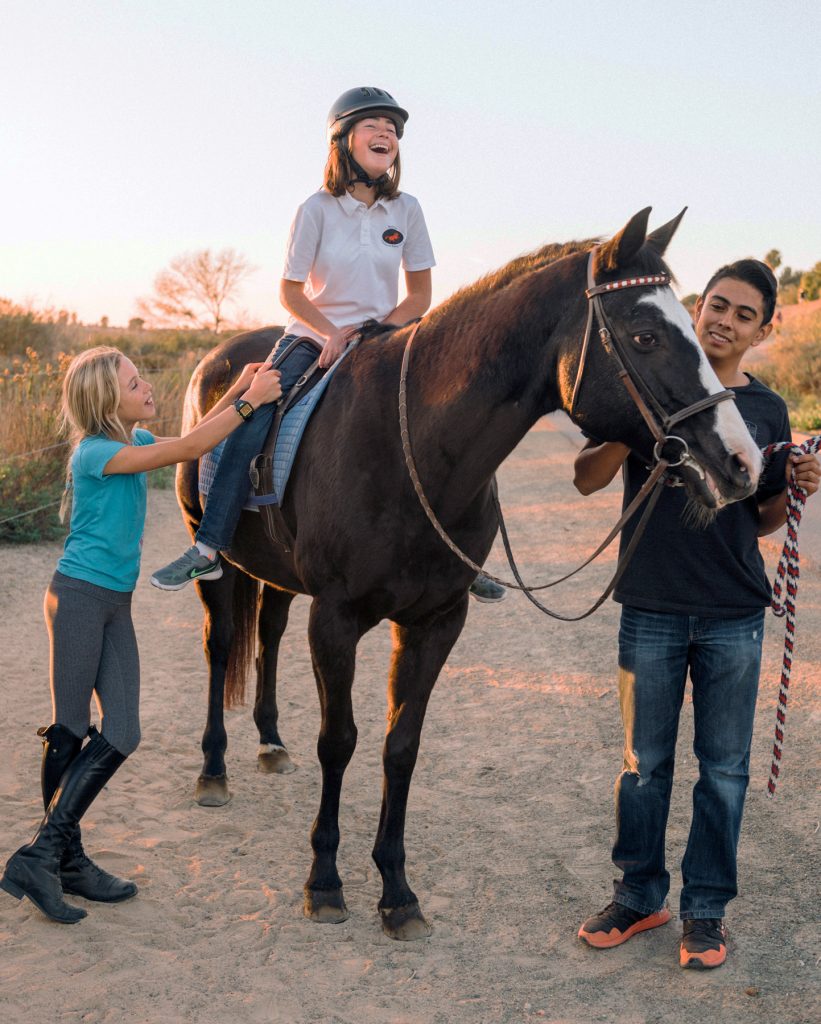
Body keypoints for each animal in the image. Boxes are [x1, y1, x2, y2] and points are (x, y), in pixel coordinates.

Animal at [174, 211, 761, 937]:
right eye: (645, 335)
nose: (741, 463)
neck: (412, 451)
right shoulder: (336, 619)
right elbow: (338, 741)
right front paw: (325, 881)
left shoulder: (435, 621)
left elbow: (401, 746)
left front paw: (397, 891)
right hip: (218, 564)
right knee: (222, 643)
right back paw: (214, 769)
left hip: (279, 578)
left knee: (270, 635)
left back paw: (269, 741)